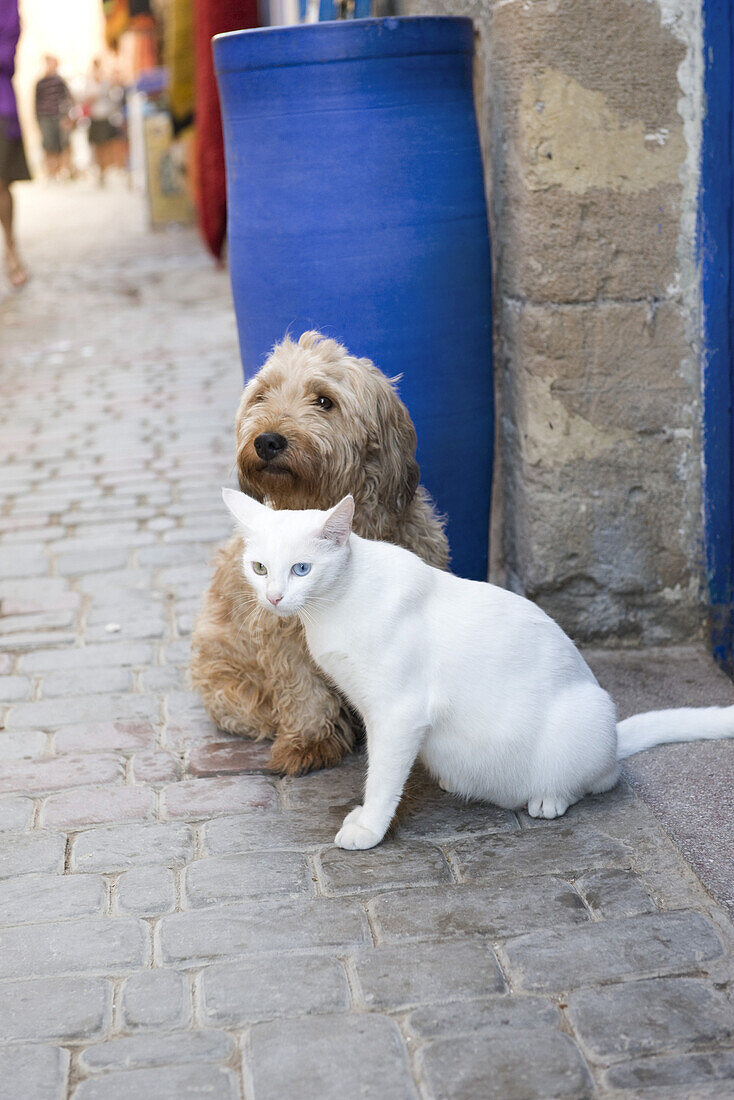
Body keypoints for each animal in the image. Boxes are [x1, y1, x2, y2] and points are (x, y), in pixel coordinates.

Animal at [189, 332, 448, 774]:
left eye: (324, 400)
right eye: (262, 395)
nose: (267, 440)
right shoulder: (283, 634)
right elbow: (302, 689)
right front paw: (308, 743)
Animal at [222, 488, 734, 849]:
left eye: (302, 569)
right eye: (260, 568)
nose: (274, 598)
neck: (333, 608)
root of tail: (612, 737)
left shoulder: (398, 713)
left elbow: (382, 777)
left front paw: (369, 825)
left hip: (587, 715)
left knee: (603, 779)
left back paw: (551, 797)